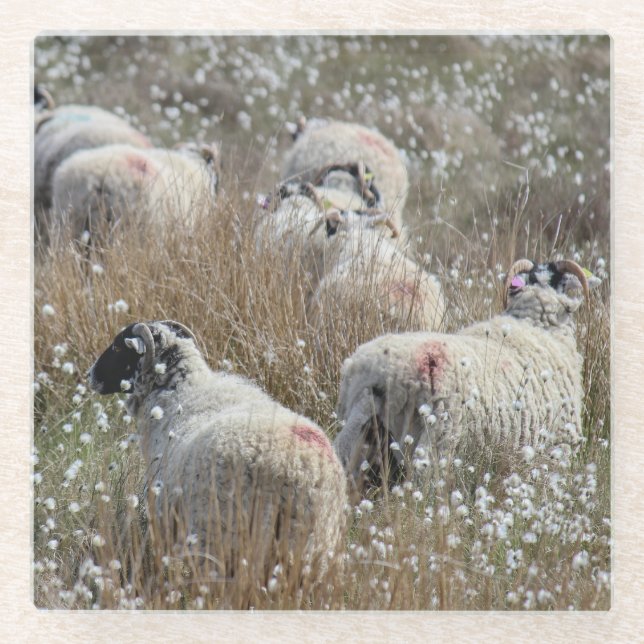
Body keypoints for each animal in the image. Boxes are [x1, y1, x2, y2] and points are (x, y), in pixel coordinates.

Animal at [88, 320, 347, 585]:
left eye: (118, 348)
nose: (90, 376)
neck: (177, 390)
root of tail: (301, 470)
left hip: (225, 536)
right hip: (313, 547)